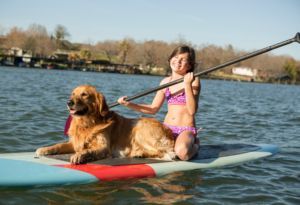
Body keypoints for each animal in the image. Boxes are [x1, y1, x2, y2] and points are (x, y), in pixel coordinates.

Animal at [35, 84, 176, 163]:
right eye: (73, 94)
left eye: (84, 94)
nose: (69, 102)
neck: (88, 123)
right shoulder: (75, 143)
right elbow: (58, 145)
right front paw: (44, 149)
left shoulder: (103, 147)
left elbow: (88, 151)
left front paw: (79, 156)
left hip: (140, 129)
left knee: (166, 152)